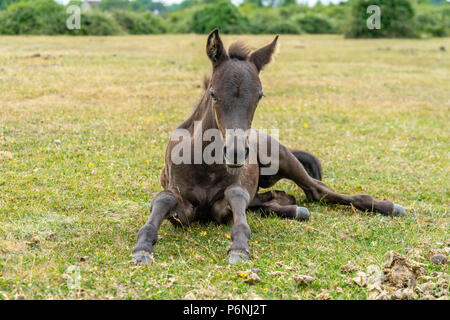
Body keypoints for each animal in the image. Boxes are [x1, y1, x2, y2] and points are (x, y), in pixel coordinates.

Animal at [131, 30, 408, 264]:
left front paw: (240, 246)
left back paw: (387, 207)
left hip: (285, 159)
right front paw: (142, 248)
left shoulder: (227, 201)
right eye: (213, 93)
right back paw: (294, 209)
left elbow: (236, 196)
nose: (235, 153)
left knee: (317, 191)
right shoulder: (182, 208)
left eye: (259, 96)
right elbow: (164, 199)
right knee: (277, 199)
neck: (205, 165)